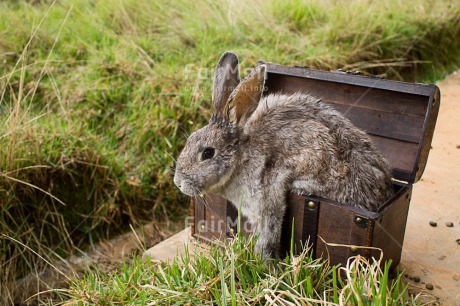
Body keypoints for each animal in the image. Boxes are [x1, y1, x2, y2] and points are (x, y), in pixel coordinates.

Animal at [174, 52, 394, 258]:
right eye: (189, 140)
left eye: (207, 153)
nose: (178, 182)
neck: (240, 158)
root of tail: (380, 197)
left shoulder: (269, 194)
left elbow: (270, 228)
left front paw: (263, 259)